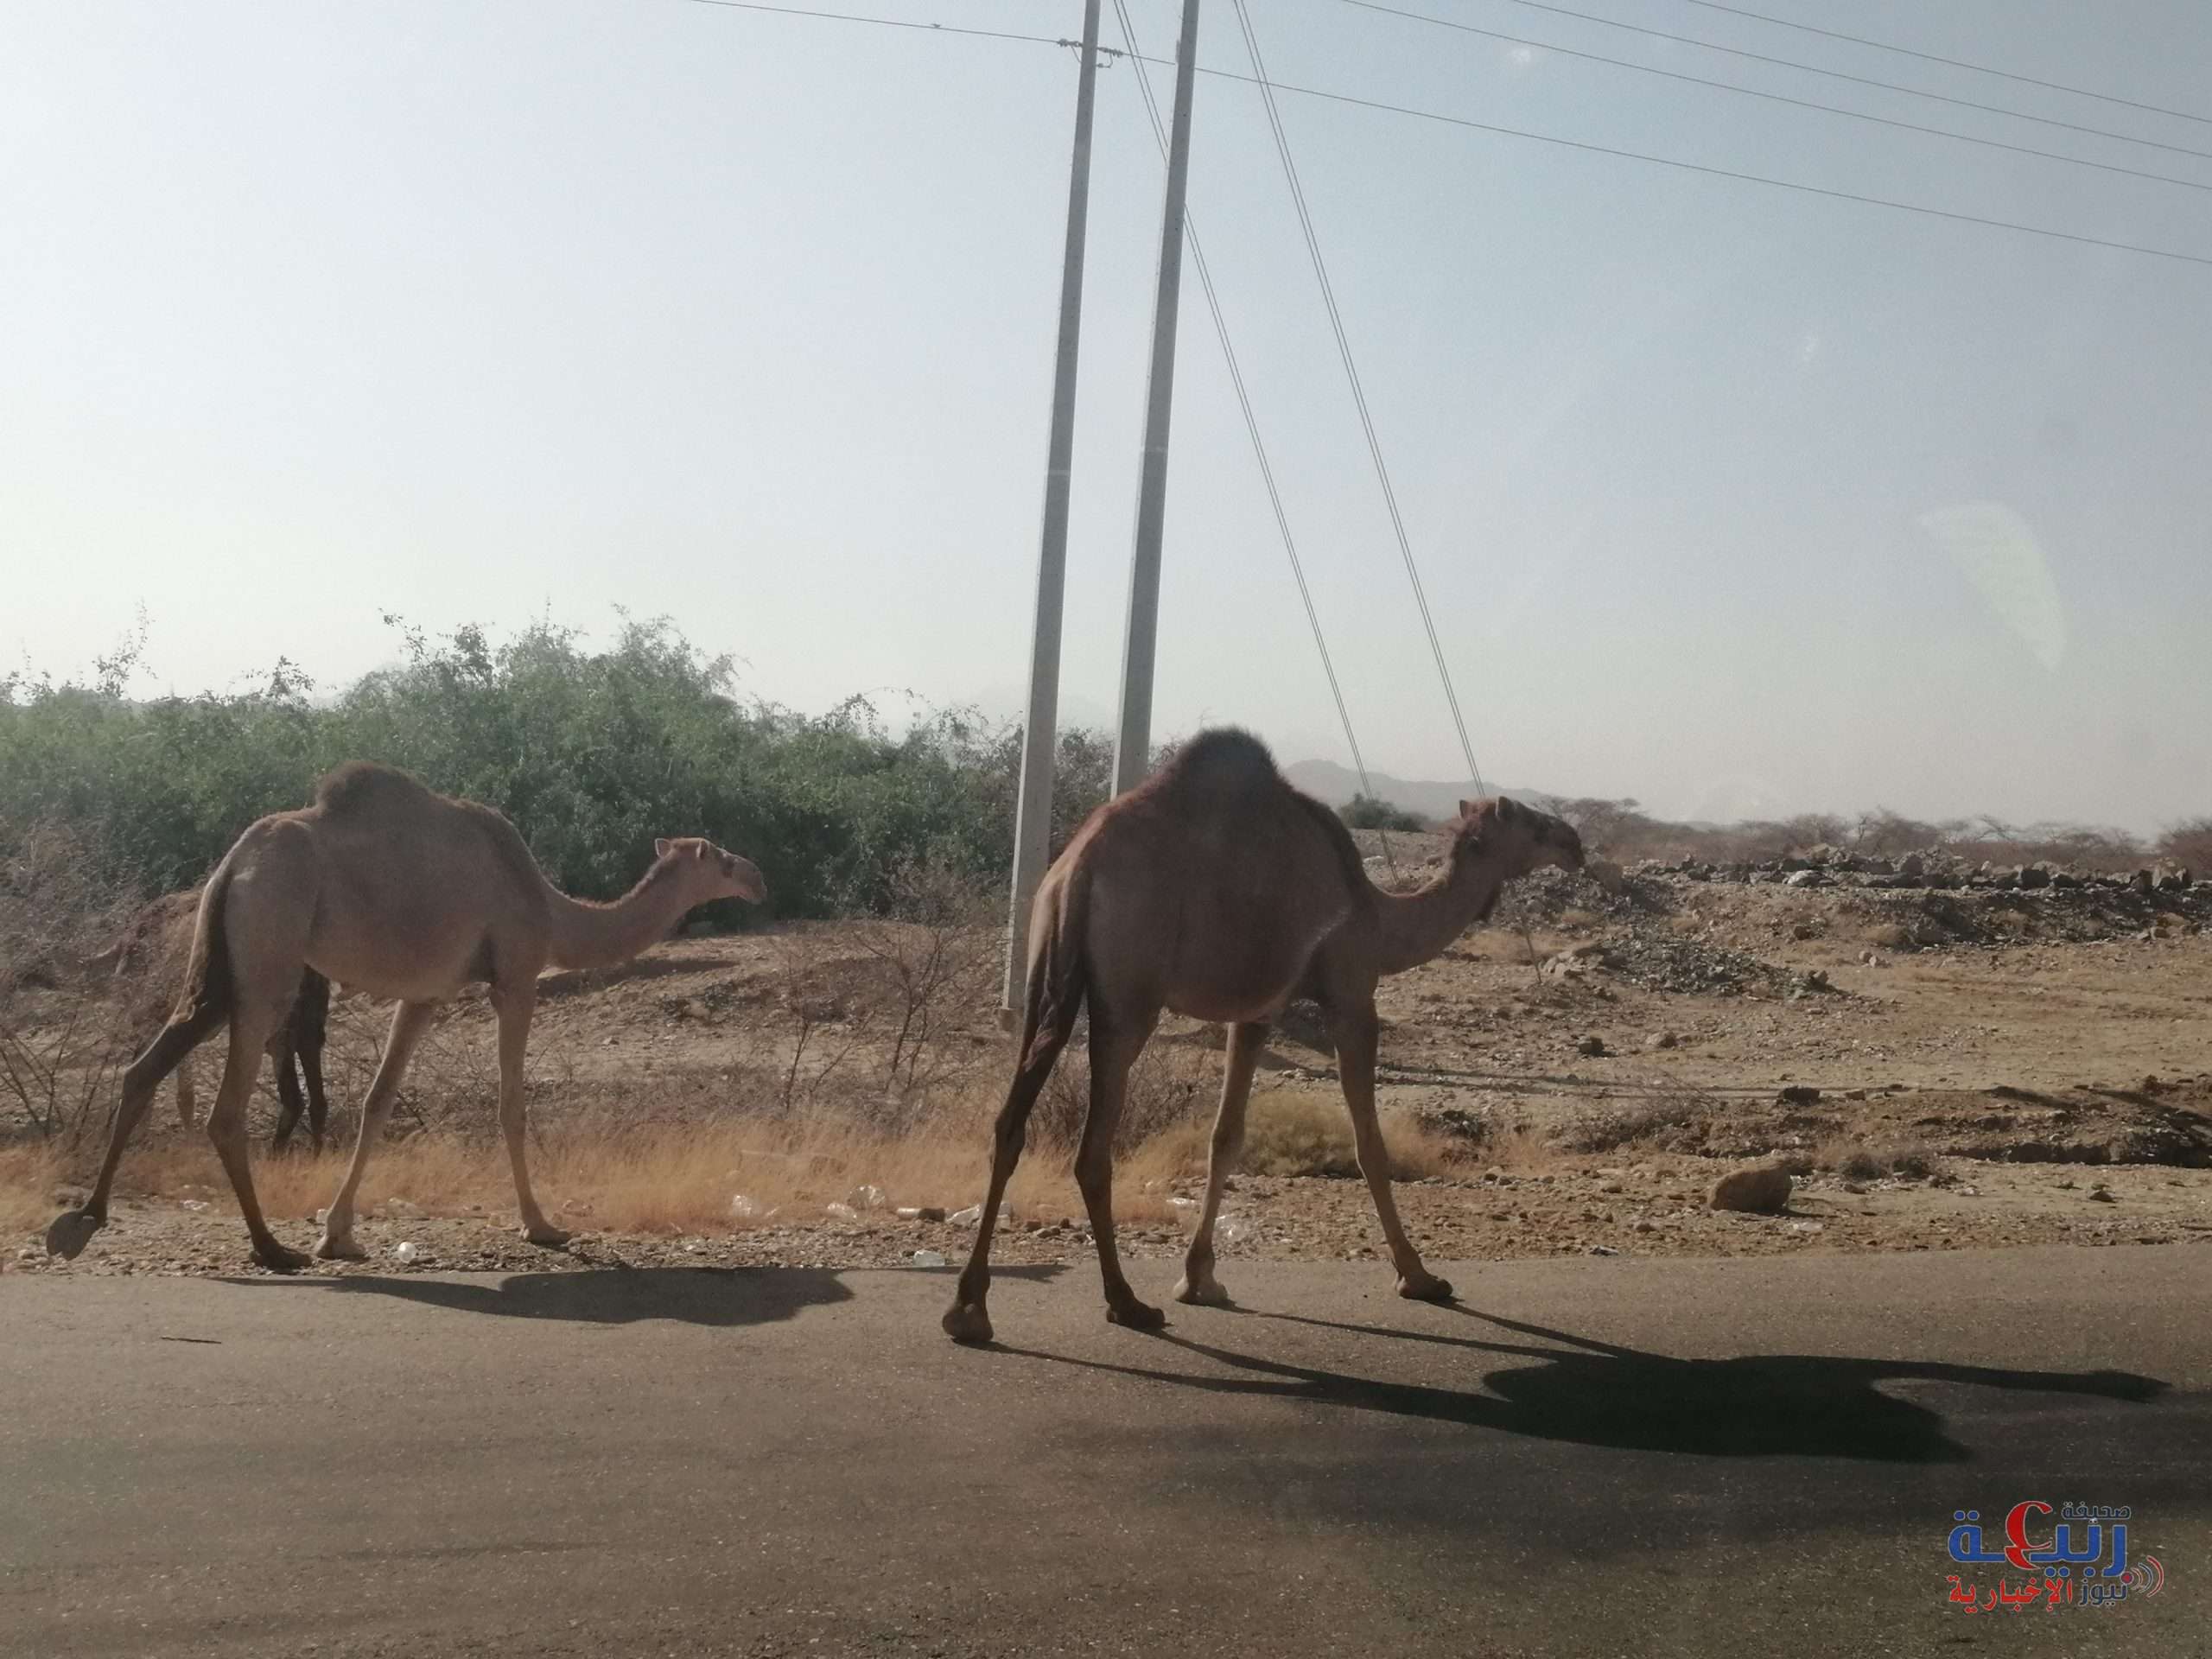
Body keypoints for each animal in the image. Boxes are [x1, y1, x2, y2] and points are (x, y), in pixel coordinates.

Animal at [943, 728, 1583, 1344]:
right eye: (1530, 822)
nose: (1574, 840)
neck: (1378, 916)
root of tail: (1079, 866)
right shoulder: (1353, 997)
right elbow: (1369, 1146)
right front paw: (1419, 1276)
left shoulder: (1255, 1014)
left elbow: (1225, 1137)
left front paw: (1200, 1279)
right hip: (1128, 998)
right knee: (1093, 1150)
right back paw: (1126, 1303)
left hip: (1042, 974)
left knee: (1010, 1122)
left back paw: (969, 1309)